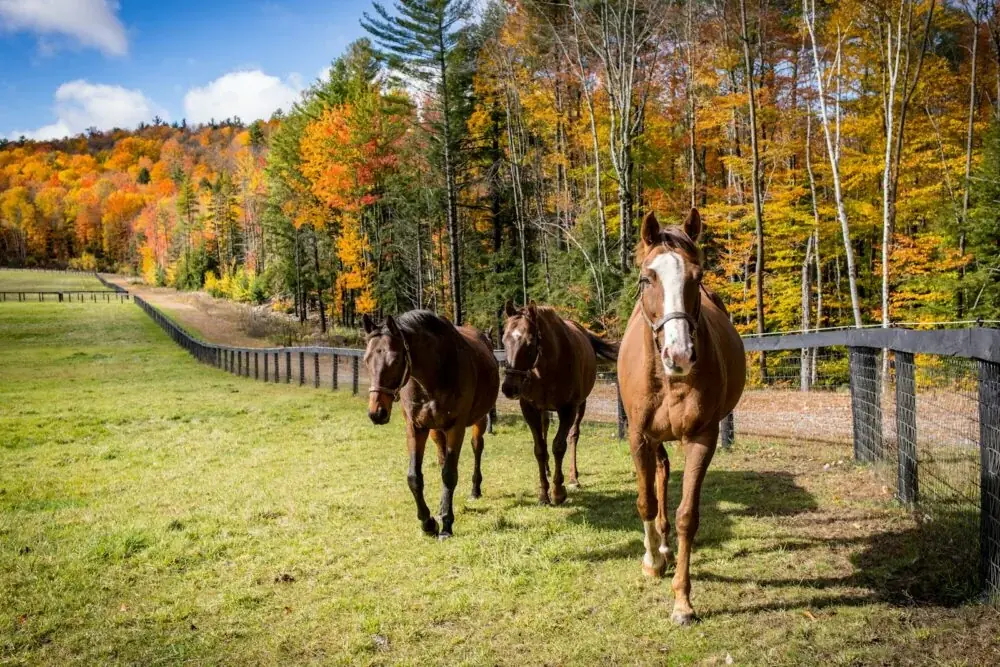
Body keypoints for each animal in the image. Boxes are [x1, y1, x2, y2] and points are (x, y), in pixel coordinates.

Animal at [362, 310, 500, 538]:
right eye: (366, 359)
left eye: (396, 359)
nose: (377, 413)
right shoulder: (416, 428)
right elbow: (414, 477)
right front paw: (428, 522)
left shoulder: (456, 427)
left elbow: (449, 475)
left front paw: (446, 524)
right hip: (436, 430)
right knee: (442, 456)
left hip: (478, 421)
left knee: (476, 448)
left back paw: (474, 490)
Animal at [500, 300, 618, 505]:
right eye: (504, 341)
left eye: (530, 343)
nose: (509, 388)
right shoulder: (529, 409)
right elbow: (540, 449)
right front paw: (543, 493)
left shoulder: (568, 409)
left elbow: (559, 446)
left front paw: (557, 491)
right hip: (544, 410)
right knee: (545, 430)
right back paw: (548, 470)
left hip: (581, 406)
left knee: (573, 436)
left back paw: (573, 478)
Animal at [617, 209, 745, 625]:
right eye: (647, 277)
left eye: (697, 277)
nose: (680, 355)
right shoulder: (639, 437)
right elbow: (645, 501)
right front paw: (652, 561)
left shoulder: (702, 438)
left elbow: (688, 515)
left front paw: (683, 602)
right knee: (658, 478)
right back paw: (657, 549)